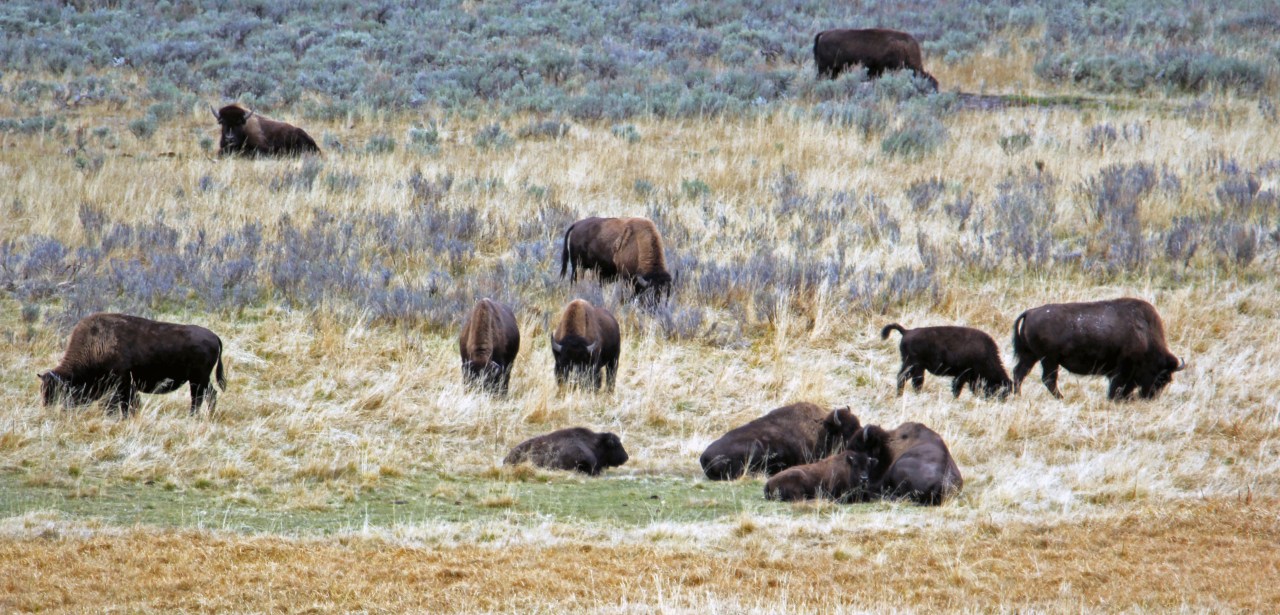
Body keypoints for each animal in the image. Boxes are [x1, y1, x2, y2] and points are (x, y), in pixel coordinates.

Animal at [38, 313, 225, 417]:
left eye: (59, 391)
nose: (49, 409)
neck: (96, 345)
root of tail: (214, 336)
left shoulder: (122, 384)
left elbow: (123, 405)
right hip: (201, 379)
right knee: (210, 395)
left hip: (197, 380)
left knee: (198, 398)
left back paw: (193, 416)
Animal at [881, 323, 1012, 399]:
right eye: (1000, 389)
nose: (999, 400)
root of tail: (906, 331)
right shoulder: (963, 375)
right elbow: (957, 388)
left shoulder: (970, 378)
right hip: (915, 366)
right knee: (912, 381)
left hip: (912, 366)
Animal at [1012, 298, 1185, 400]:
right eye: (1162, 377)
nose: (1150, 397)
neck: (1144, 333)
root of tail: (1030, 312)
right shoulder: (1123, 369)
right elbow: (1118, 385)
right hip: (1049, 360)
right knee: (1048, 379)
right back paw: (1061, 397)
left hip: (1031, 356)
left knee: (1020, 373)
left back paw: (1018, 395)